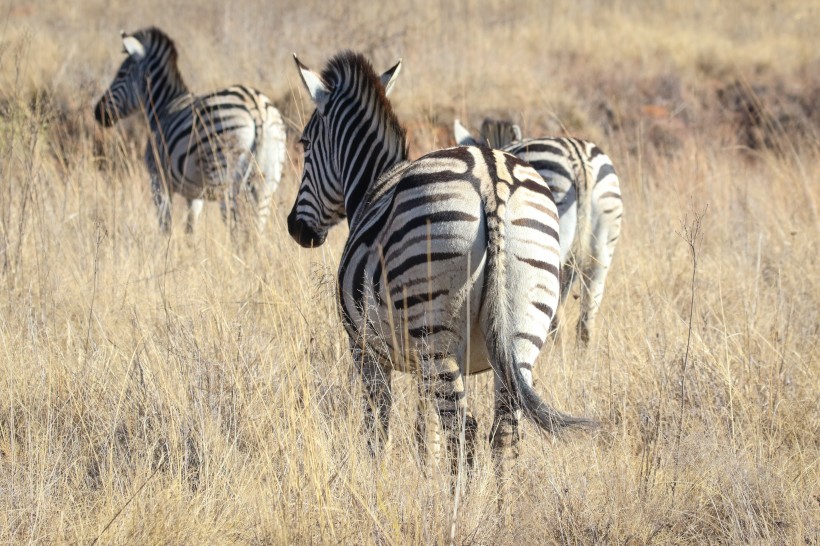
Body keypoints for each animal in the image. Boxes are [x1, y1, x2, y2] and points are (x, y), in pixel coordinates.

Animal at [91, 28, 286, 232]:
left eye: (121, 74)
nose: (98, 112)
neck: (164, 106)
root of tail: (256, 107)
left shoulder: (158, 180)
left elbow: (165, 226)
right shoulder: (194, 193)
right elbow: (190, 228)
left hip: (224, 174)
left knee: (236, 229)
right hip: (267, 181)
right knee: (257, 229)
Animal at [286, 52, 592, 484]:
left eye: (306, 143)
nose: (296, 229)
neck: (374, 183)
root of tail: (490, 180)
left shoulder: (365, 351)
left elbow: (378, 428)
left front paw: (378, 484)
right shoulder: (418, 365)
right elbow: (423, 429)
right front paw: (425, 478)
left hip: (436, 333)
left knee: (464, 429)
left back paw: (458, 503)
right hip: (523, 324)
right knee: (505, 429)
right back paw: (501, 503)